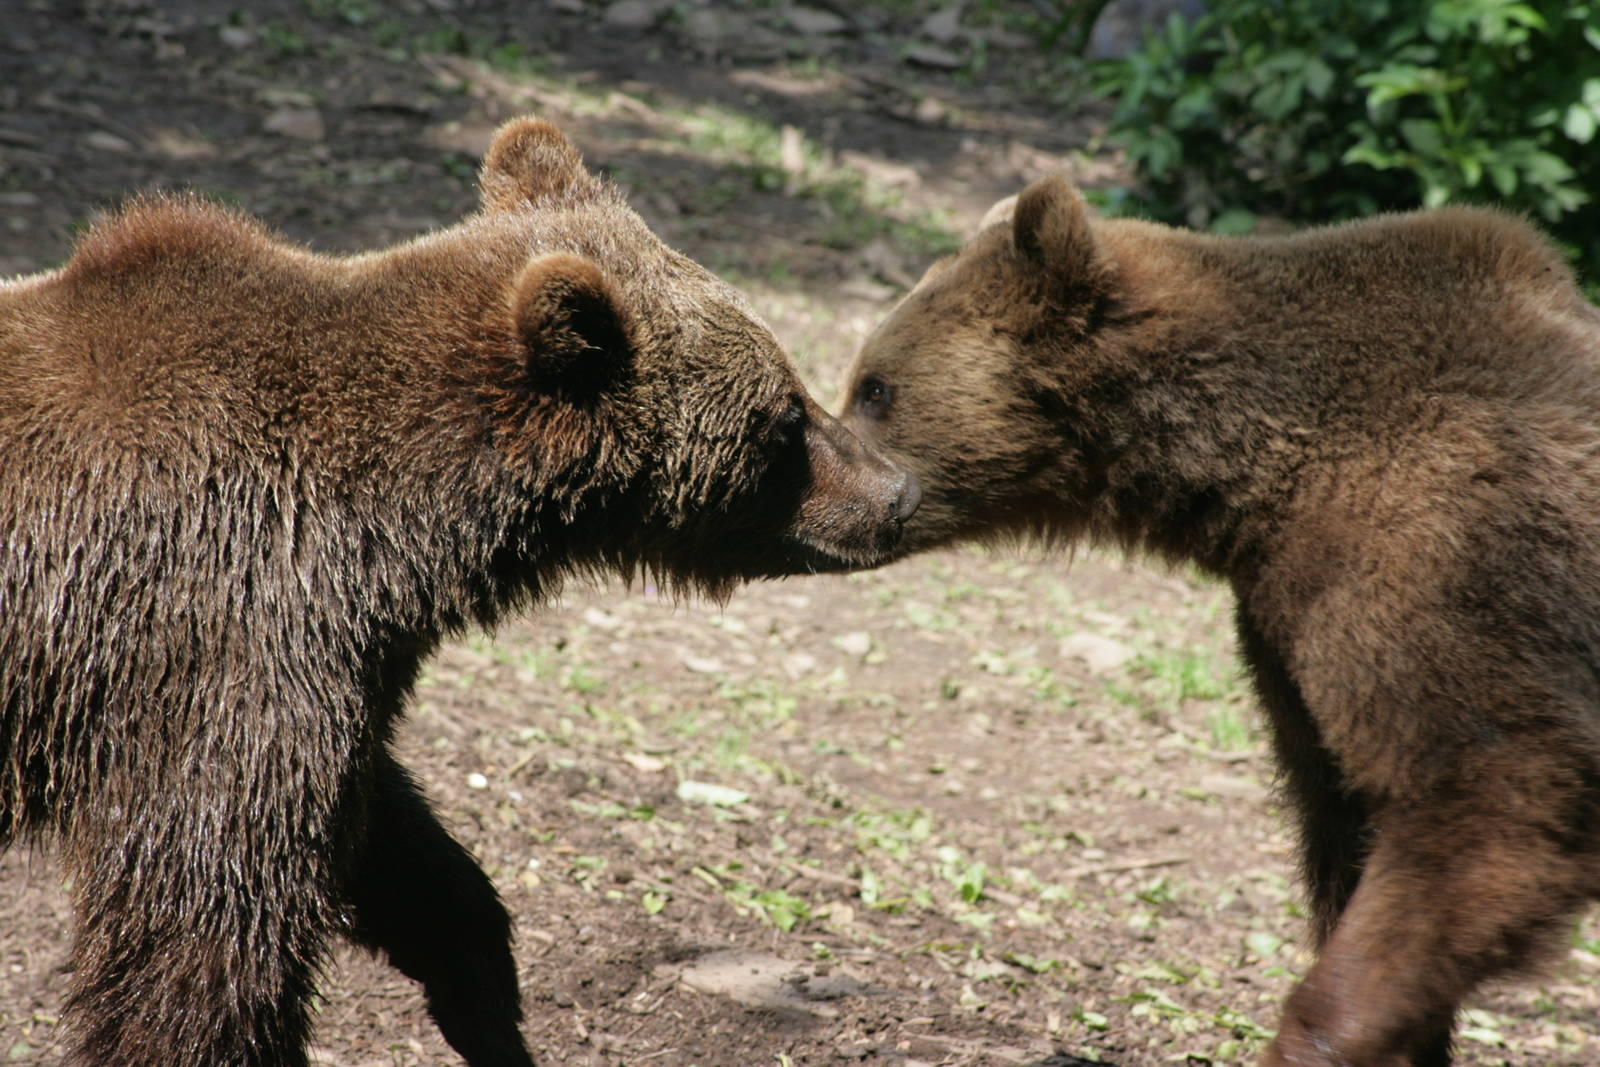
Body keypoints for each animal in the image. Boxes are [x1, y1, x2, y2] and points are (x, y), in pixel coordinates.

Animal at [0, 116, 919, 1067]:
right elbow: (206, 924)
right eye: (786, 416)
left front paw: (483, 999)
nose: (898, 494)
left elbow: (403, 852)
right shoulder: (217, 638)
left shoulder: (325, 671)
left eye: (794, 390)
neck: (395, 531)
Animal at [836, 174, 1600, 1066]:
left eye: (876, 387)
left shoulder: (1447, 554)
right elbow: (1345, 821)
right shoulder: (1283, 625)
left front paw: (1320, 1034)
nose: (853, 495)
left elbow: (1495, 788)